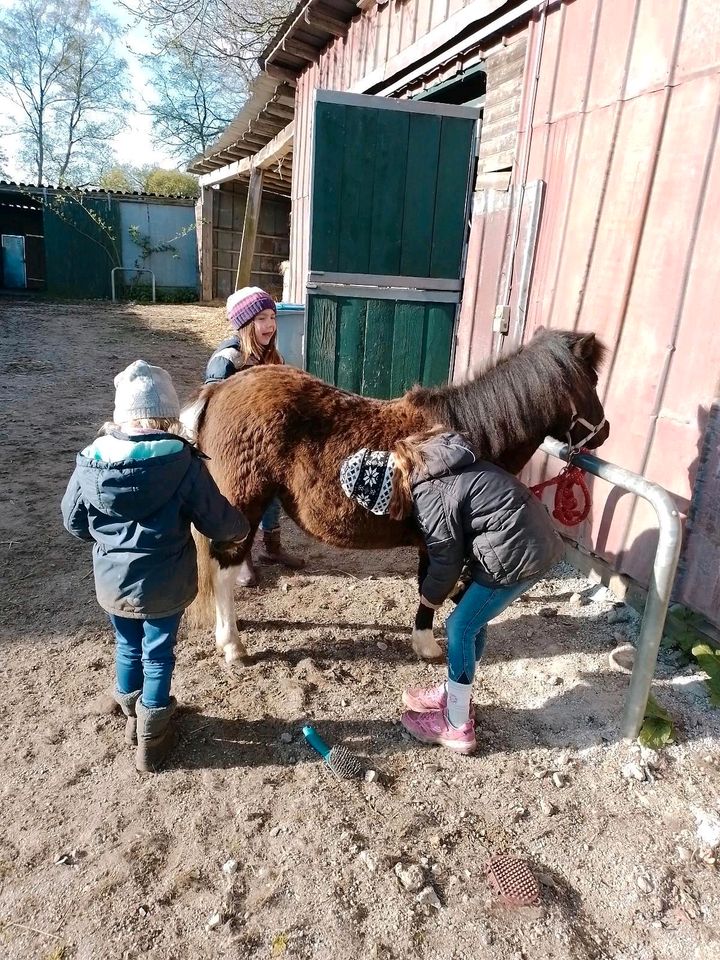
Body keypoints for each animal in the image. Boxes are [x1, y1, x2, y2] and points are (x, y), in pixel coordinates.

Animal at [184, 326, 608, 664]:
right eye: (592, 382)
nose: (604, 432)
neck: (462, 439)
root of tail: (220, 391)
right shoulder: (443, 540)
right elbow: (431, 588)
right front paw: (427, 645)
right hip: (243, 505)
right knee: (223, 570)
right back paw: (232, 645)